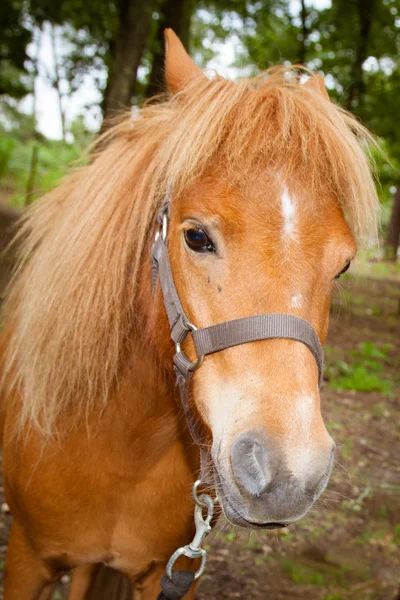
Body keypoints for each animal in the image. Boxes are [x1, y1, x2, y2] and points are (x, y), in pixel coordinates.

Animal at [0, 30, 378, 600]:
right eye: (196, 236)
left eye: (344, 264)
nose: (288, 478)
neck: (121, 449)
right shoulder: (27, 557)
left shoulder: (173, 570)